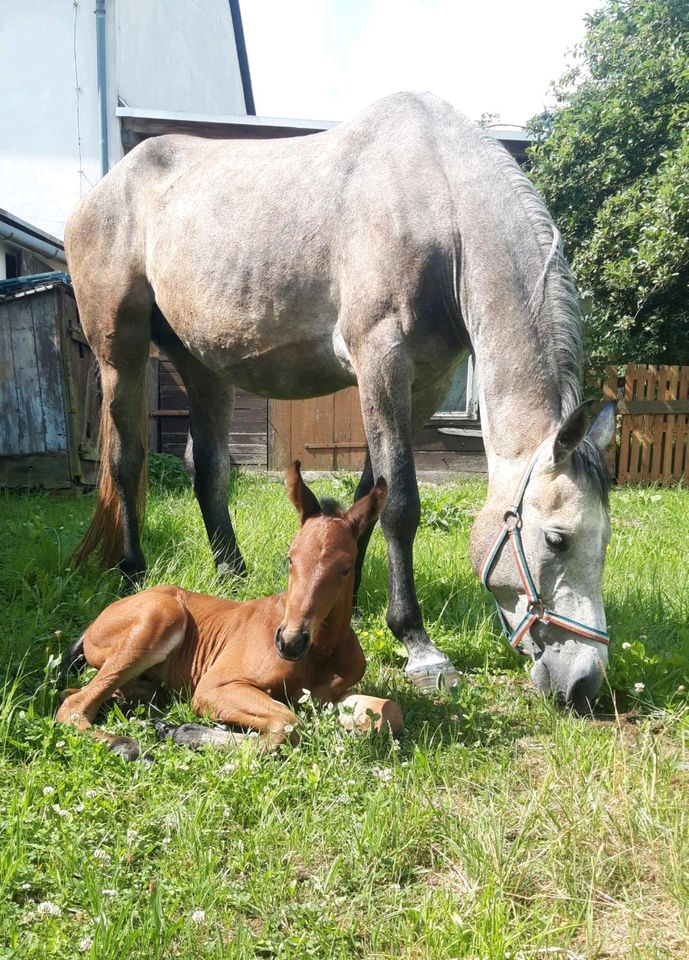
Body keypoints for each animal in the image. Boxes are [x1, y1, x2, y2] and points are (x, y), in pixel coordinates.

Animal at [59, 462, 404, 760]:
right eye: (290, 558)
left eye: (346, 568)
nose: (290, 642)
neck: (320, 652)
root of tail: (94, 624)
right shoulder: (215, 686)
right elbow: (288, 723)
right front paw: (182, 730)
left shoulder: (328, 696)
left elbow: (389, 712)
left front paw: (175, 728)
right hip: (159, 617)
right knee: (73, 704)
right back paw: (128, 745)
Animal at [64, 92, 612, 704]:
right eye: (558, 539)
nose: (584, 681)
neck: (436, 201)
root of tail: (104, 190)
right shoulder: (381, 361)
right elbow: (400, 504)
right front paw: (418, 643)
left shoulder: (421, 386)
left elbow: (368, 498)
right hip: (121, 350)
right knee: (125, 459)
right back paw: (132, 571)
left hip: (199, 363)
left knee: (207, 469)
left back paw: (232, 575)